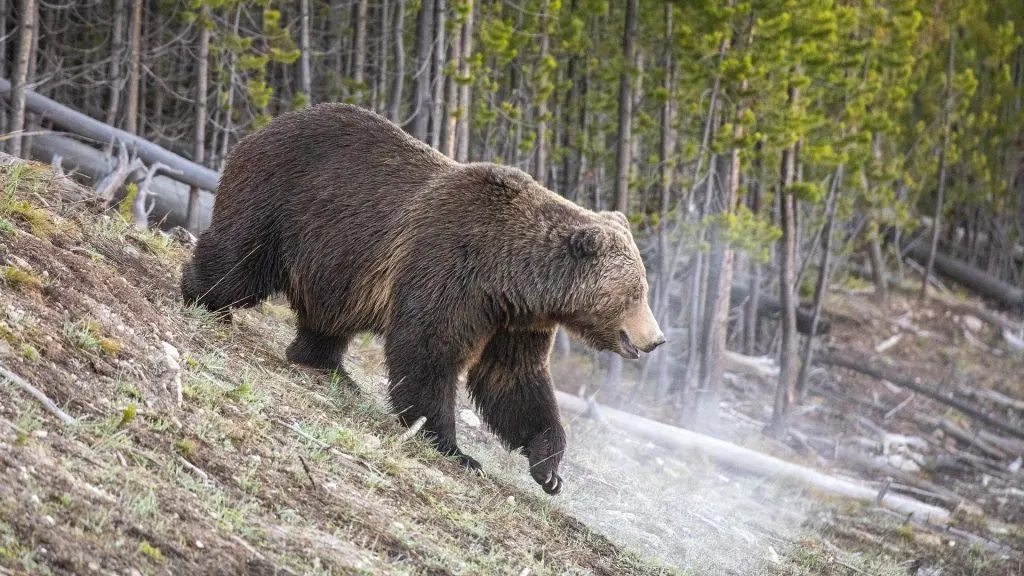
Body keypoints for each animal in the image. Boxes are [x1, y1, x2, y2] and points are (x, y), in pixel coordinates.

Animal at [180, 102, 665, 495]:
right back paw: (201, 295)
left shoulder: (513, 319)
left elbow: (514, 379)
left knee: (328, 315)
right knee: (241, 260)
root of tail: (263, 128)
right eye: (636, 292)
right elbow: (428, 349)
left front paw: (549, 466)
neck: (512, 276)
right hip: (283, 200)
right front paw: (454, 448)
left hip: (335, 262)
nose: (657, 339)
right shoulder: (452, 268)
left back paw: (329, 365)